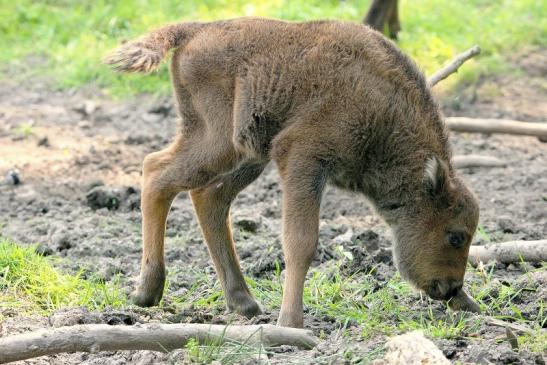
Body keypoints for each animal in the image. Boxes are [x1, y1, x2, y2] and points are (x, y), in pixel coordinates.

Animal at [106, 17, 480, 328]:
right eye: (456, 236)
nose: (450, 288)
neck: (383, 108)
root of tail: (195, 30)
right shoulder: (304, 159)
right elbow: (301, 241)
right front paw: (291, 322)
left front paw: (471, 305)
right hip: (218, 142)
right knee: (156, 172)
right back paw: (147, 292)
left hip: (249, 156)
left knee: (207, 196)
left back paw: (243, 302)